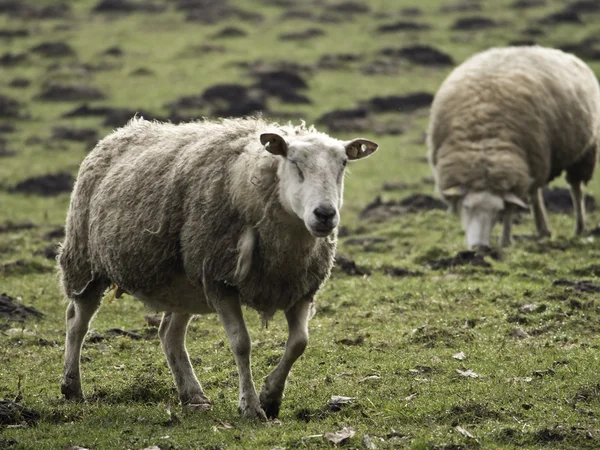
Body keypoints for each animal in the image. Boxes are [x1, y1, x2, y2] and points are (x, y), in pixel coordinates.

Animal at [56, 116, 376, 418]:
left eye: (343, 164)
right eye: (294, 162)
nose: (325, 214)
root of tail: (121, 132)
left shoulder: (301, 288)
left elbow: (299, 343)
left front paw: (271, 397)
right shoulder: (219, 280)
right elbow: (242, 343)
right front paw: (250, 406)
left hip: (182, 284)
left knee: (169, 334)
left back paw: (193, 396)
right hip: (86, 261)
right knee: (76, 321)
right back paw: (72, 387)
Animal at [426, 44, 600, 250]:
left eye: (497, 211)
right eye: (466, 207)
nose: (480, 247)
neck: (484, 139)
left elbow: (510, 211)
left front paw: (505, 241)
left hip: (583, 152)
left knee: (575, 189)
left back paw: (579, 228)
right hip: (534, 162)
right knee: (535, 194)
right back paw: (543, 230)